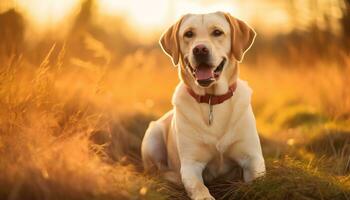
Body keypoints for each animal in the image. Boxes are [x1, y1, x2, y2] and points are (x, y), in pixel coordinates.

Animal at [141, 11, 264, 199]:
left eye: (217, 32)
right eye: (189, 34)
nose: (200, 49)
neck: (212, 100)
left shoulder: (253, 158)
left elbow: (258, 183)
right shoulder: (191, 164)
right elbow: (199, 188)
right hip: (152, 135)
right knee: (156, 172)